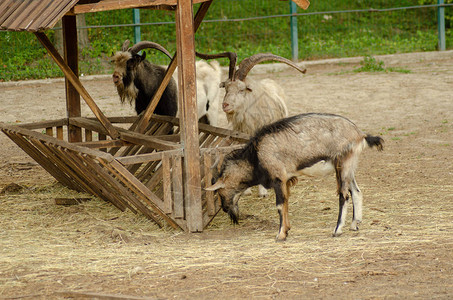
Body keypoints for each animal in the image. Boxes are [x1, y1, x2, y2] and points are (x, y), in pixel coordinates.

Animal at [207, 112, 384, 241]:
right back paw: (354, 224)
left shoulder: (278, 178)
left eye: (219, 192)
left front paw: (280, 235)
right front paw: (287, 229)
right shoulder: (286, 180)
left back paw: (337, 230)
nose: (225, 209)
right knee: (356, 192)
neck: (255, 156)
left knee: (344, 195)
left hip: (342, 164)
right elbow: (286, 203)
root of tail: (360, 134)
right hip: (349, 167)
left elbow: (279, 205)